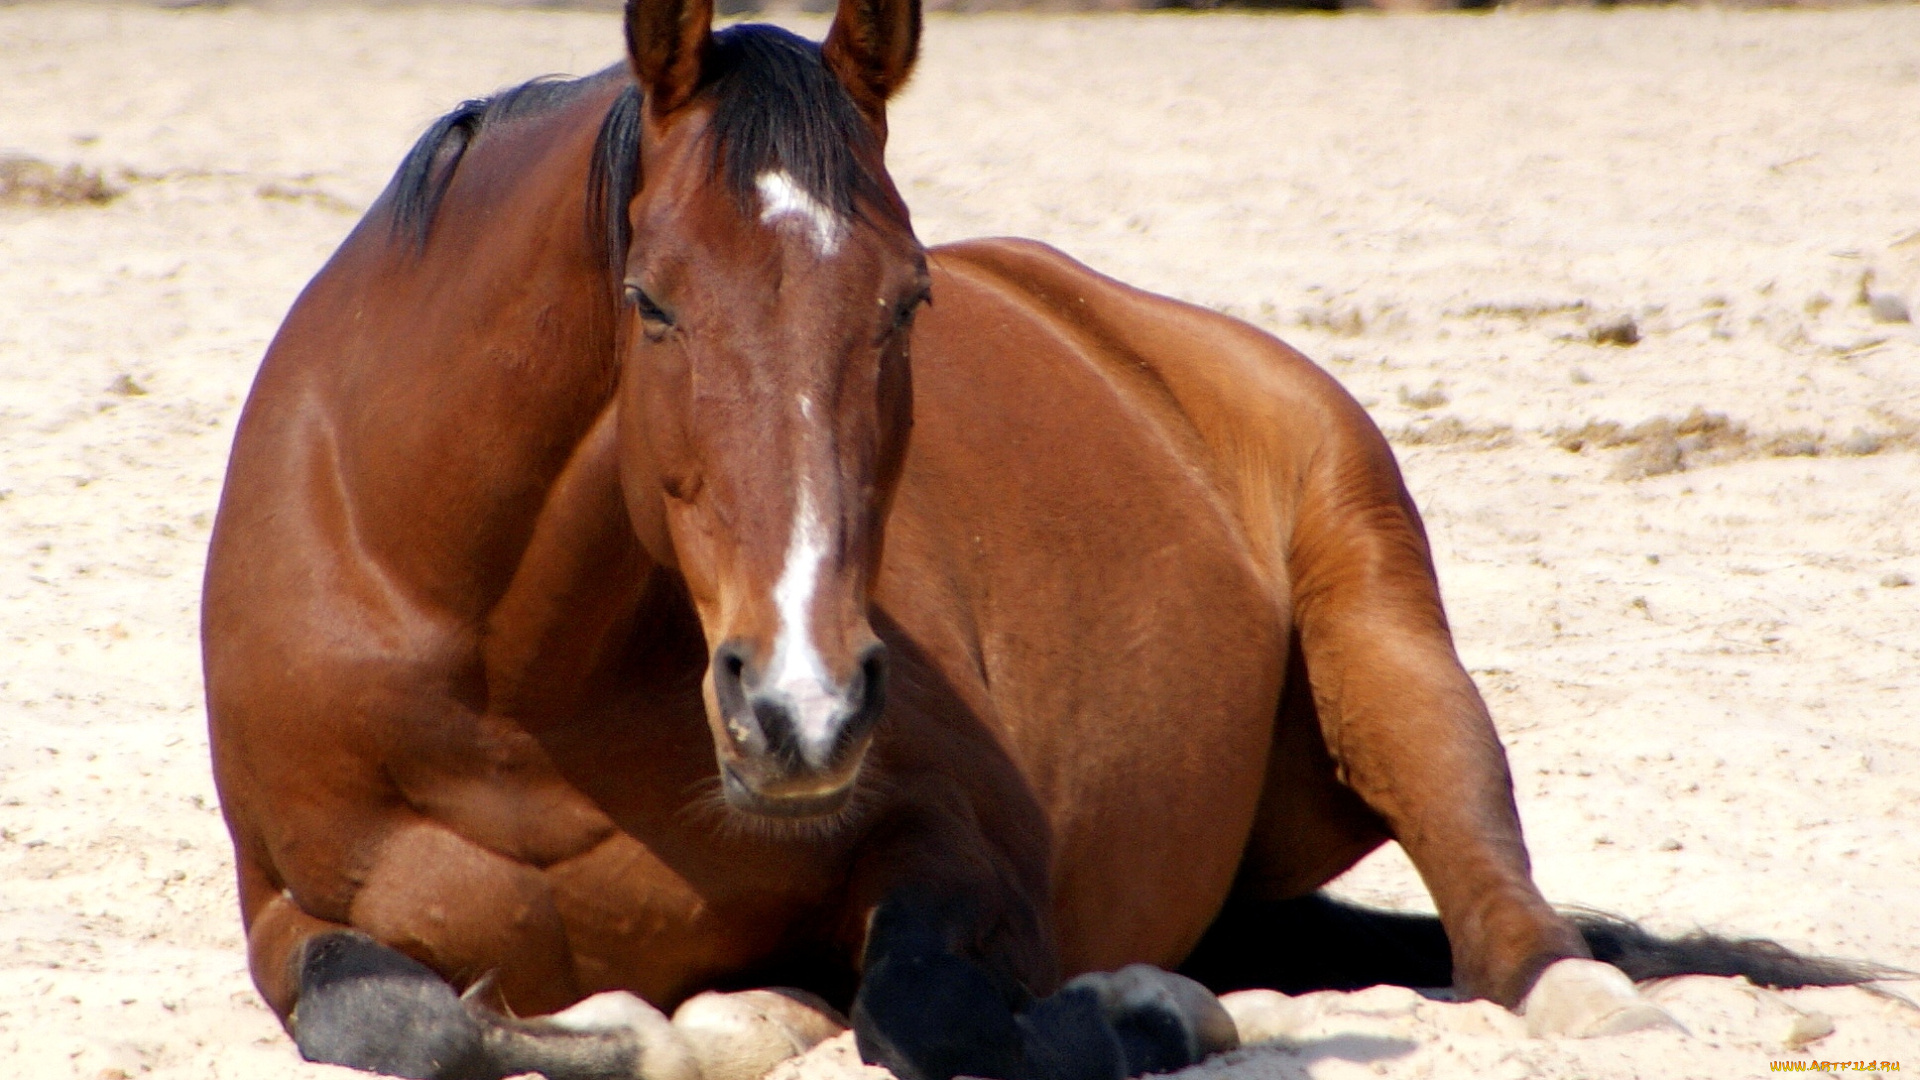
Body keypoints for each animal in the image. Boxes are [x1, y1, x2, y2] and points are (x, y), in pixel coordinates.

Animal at [198, 2, 1889, 1076]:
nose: (801, 710)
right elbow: (410, 1020)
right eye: (651, 299)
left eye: (908, 300)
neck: (509, 678)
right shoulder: (287, 909)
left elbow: (932, 1013)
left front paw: (1148, 1017)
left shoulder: (972, 839)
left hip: (1388, 643)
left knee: (1503, 925)